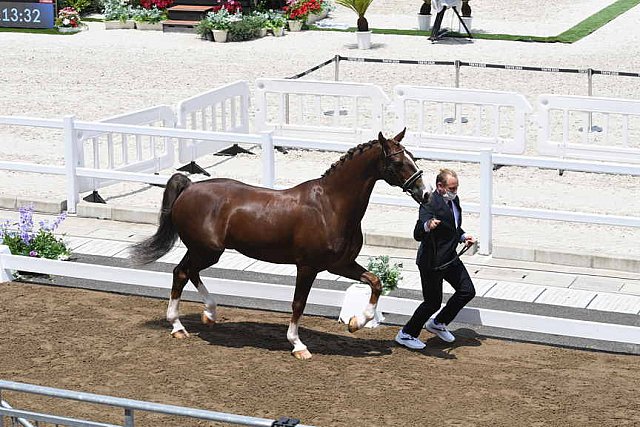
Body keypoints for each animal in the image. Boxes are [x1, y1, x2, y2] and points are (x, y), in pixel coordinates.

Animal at [132, 129, 428, 360]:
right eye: (397, 161)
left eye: (412, 157)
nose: (423, 193)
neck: (331, 205)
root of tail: (190, 187)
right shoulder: (307, 267)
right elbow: (298, 304)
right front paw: (298, 345)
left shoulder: (340, 264)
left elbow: (375, 282)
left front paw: (356, 323)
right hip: (206, 250)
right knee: (181, 273)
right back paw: (178, 326)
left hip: (205, 252)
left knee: (187, 272)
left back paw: (208, 315)